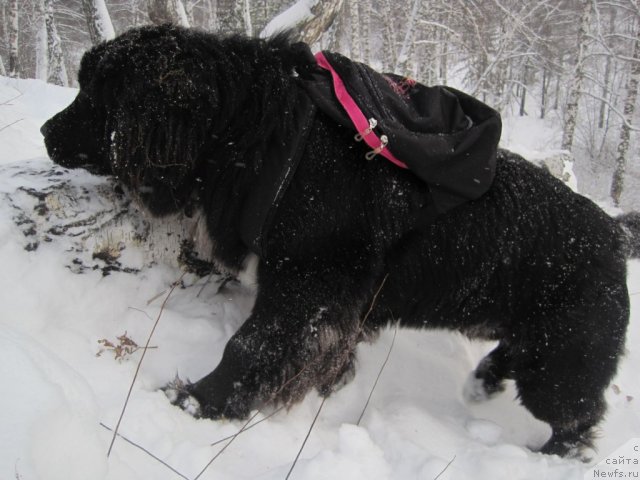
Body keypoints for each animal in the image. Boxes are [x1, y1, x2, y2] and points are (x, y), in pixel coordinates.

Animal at [42, 25, 636, 458]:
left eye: (95, 94)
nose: (46, 132)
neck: (253, 135)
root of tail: (614, 232)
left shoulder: (309, 284)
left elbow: (251, 345)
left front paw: (196, 402)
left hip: (562, 360)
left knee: (576, 418)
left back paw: (545, 453)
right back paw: (482, 382)